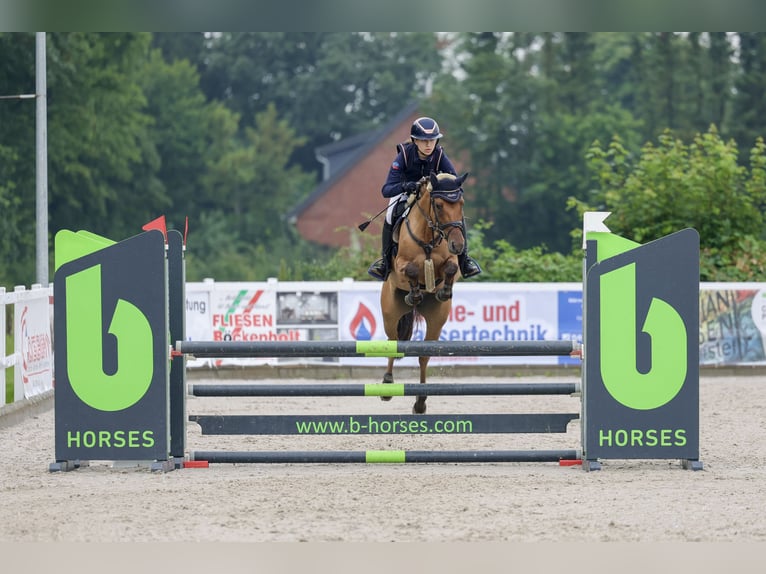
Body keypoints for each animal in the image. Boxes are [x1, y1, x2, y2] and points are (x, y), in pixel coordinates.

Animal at [380, 171, 472, 414]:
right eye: (438, 205)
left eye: (461, 204)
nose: (458, 245)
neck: (429, 235)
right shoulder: (401, 265)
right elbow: (411, 269)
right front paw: (414, 293)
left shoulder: (451, 262)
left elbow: (450, 268)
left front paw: (443, 292)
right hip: (390, 314)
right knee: (393, 343)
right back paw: (387, 385)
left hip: (436, 319)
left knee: (424, 355)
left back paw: (420, 401)